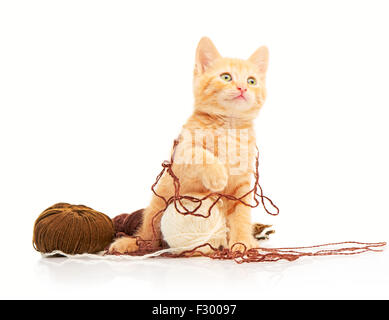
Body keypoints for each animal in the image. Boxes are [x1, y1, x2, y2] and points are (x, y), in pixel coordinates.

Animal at [107, 36, 268, 254]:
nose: (243, 88)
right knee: (149, 236)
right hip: (158, 203)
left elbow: (242, 214)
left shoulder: (242, 183)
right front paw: (217, 175)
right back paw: (130, 243)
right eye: (226, 77)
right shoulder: (180, 158)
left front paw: (242, 241)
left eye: (252, 81)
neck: (228, 125)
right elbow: (200, 153)